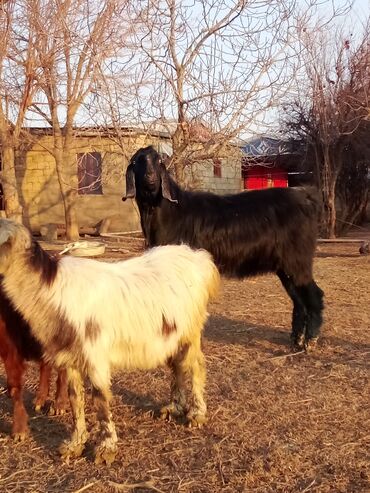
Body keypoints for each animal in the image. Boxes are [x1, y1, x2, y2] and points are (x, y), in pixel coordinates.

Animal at [0, 219, 220, 466]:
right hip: (171, 334)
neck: (51, 287)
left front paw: (106, 449)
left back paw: (197, 414)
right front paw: (75, 445)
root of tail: (198, 257)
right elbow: (75, 399)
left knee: (196, 366)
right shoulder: (71, 359)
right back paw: (174, 407)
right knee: (178, 365)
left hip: (191, 330)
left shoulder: (95, 356)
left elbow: (100, 399)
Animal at [122, 144, 324, 348]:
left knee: (314, 294)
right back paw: (296, 339)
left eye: (159, 161)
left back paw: (310, 340)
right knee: (299, 299)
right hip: (286, 266)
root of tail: (306, 197)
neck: (172, 212)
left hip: (298, 260)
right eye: (137, 161)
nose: (150, 178)